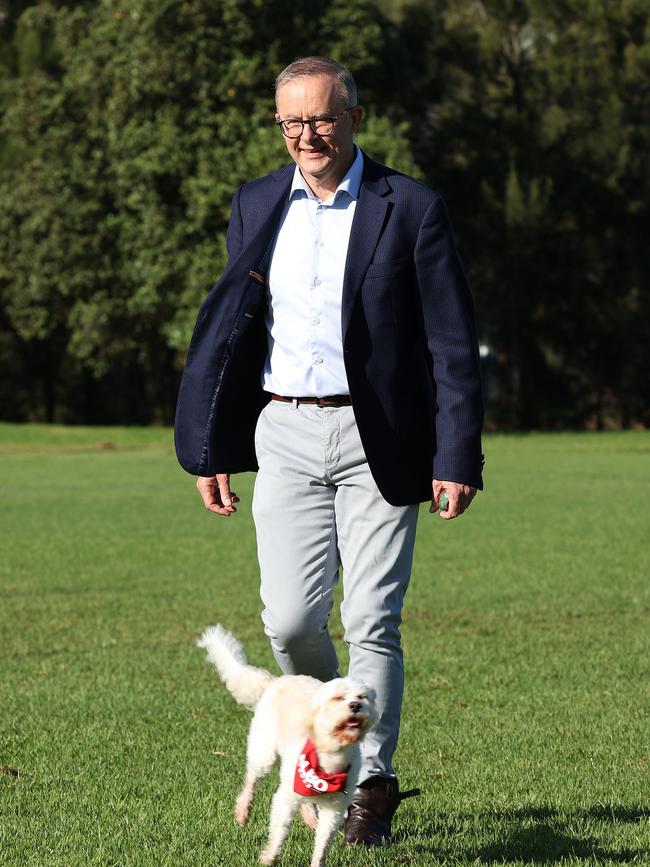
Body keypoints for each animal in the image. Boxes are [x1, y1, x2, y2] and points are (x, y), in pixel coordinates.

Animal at [200, 624, 378, 867]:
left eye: (363, 697)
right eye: (338, 698)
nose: (355, 706)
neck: (330, 755)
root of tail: (275, 681)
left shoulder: (334, 808)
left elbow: (322, 844)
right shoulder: (283, 800)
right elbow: (279, 831)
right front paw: (269, 857)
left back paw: (309, 817)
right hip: (264, 751)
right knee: (252, 779)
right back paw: (243, 810)